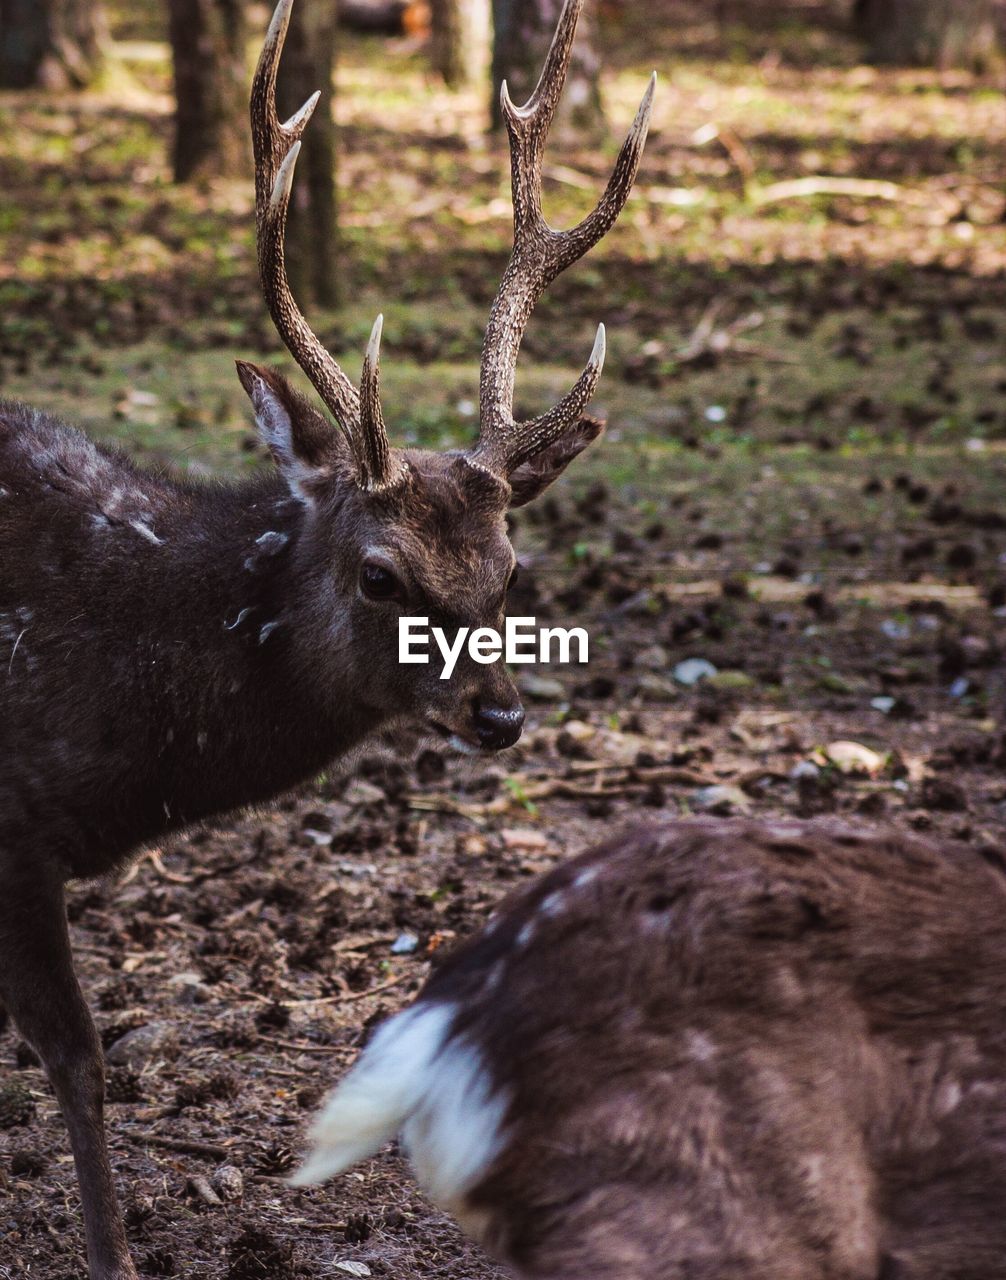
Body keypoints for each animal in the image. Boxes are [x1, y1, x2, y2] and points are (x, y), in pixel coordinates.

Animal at [0, 5, 650, 1274]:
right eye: (379, 571)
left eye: (508, 565)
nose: (500, 711)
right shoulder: (11, 829)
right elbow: (78, 1055)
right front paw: (111, 1252)